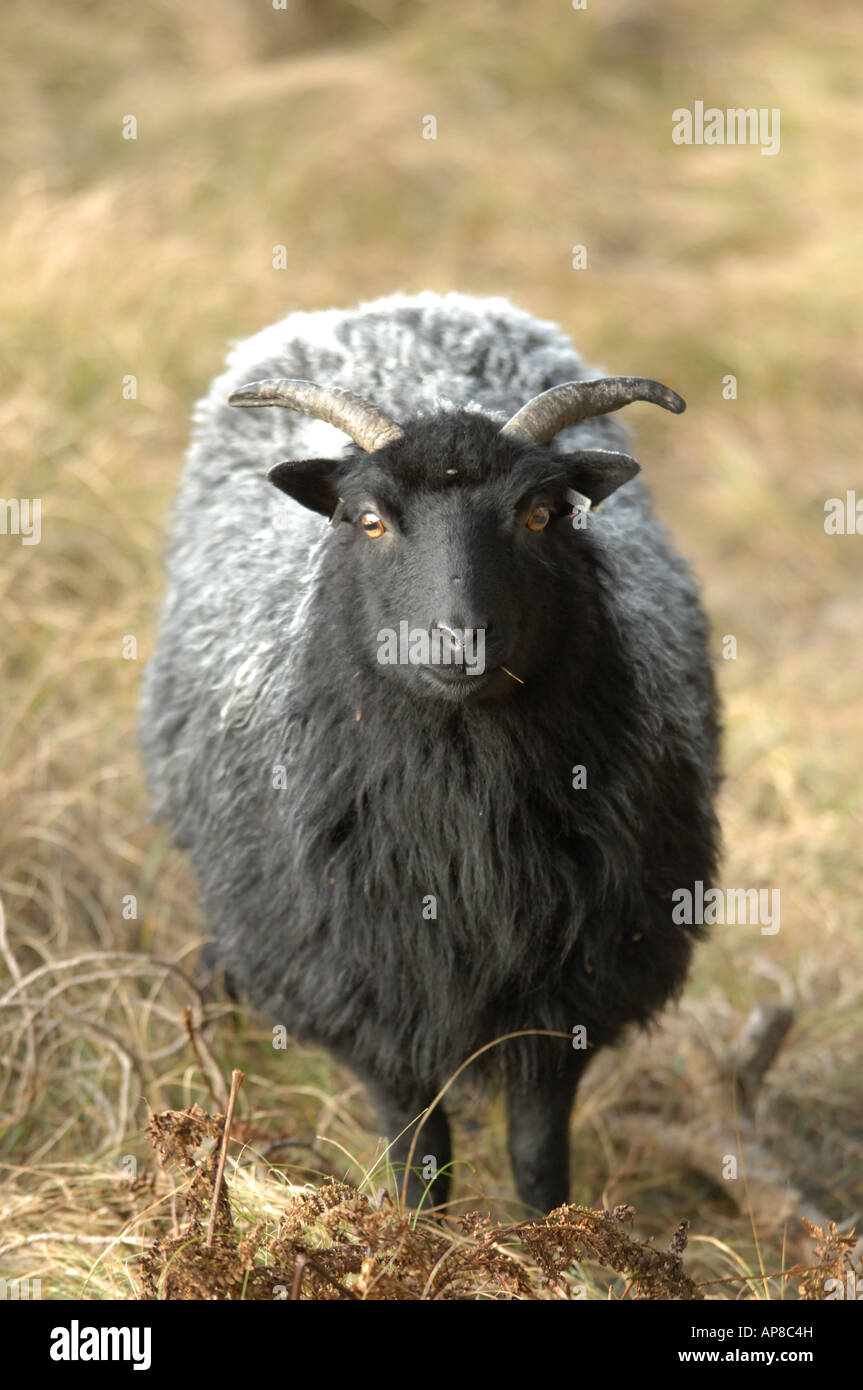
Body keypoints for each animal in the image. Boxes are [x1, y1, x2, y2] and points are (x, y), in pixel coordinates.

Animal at [141, 287, 722, 1212]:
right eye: (369, 520)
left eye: (540, 514)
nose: (454, 641)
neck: (462, 802)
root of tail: (409, 303)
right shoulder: (369, 992)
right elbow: (419, 1158)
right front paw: (424, 1235)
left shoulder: (573, 985)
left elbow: (537, 1157)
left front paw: (550, 1240)